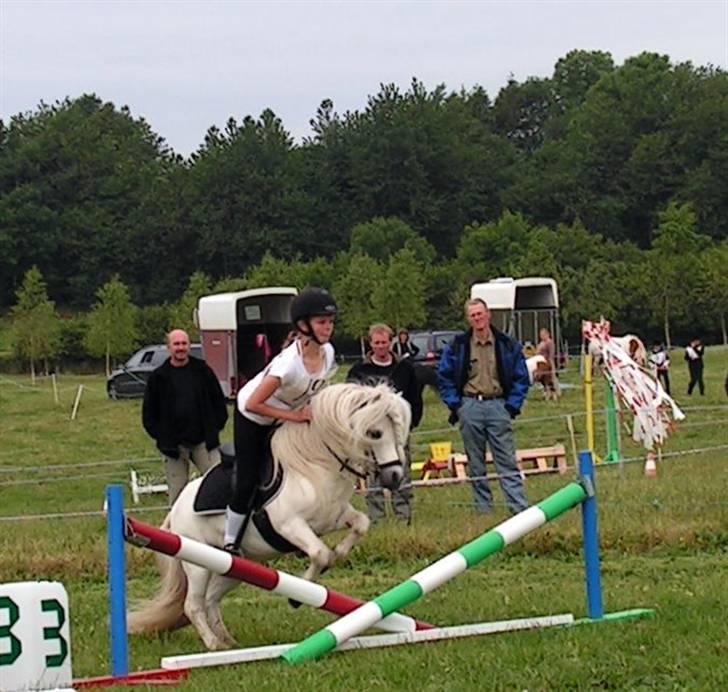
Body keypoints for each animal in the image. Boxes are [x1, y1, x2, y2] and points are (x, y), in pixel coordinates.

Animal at [129, 382, 410, 652]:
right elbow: (320, 553)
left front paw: (338, 553)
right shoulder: (290, 525)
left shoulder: (334, 517)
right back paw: (213, 644)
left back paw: (229, 642)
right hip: (198, 563)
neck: (313, 464)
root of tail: (175, 508)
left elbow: (360, 524)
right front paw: (298, 596)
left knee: (211, 599)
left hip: (233, 568)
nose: (395, 476)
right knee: (194, 604)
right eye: (375, 433)